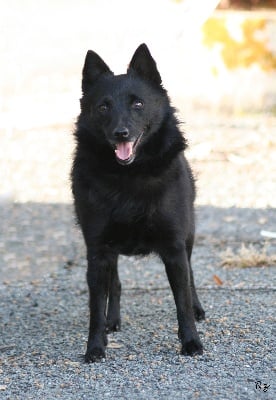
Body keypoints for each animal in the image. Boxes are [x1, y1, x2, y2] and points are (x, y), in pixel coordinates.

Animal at [71, 43, 205, 362]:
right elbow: (96, 307)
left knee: (191, 275)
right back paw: (112, 320)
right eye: (103, 107)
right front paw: (95, 346)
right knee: (115, 284)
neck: (129, 176)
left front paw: (191, 341)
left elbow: (181, 299)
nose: (121, 133)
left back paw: (198, 307)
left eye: (138, 104)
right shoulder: (98, 251)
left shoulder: (174, 247)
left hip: (189, 235)